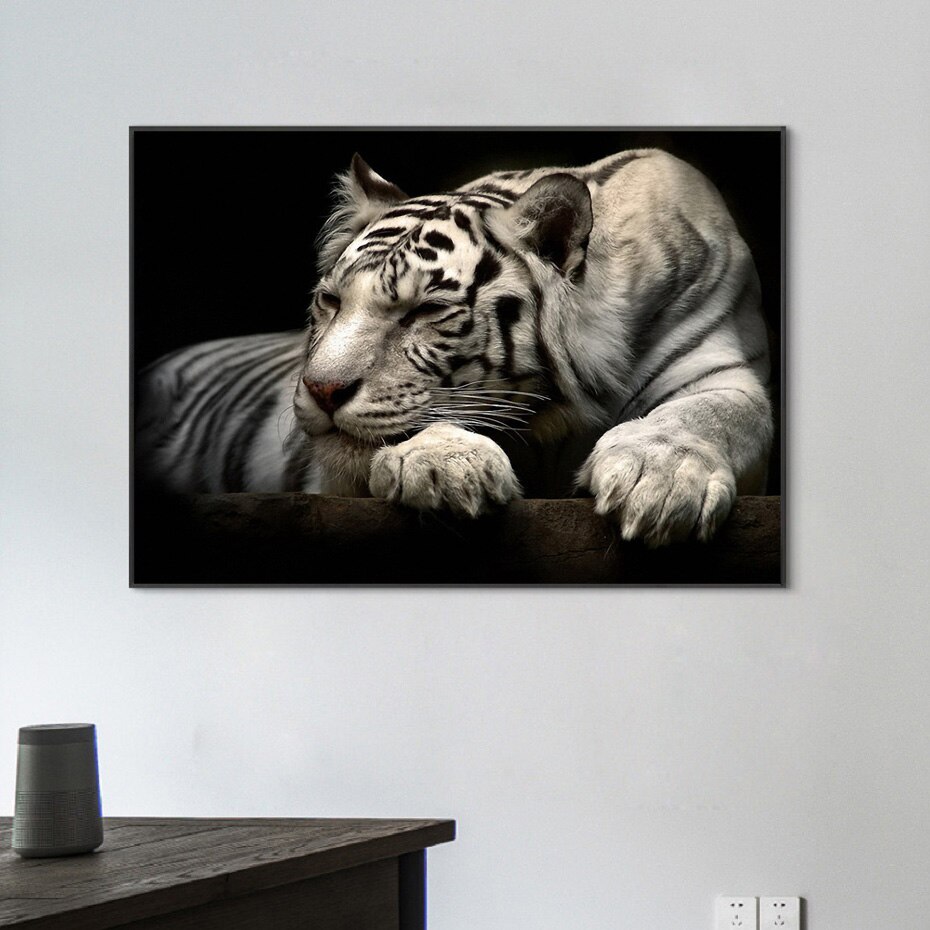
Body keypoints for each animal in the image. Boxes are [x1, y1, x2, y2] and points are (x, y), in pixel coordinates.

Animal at [137, 149, 773, 547]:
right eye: (331, 302)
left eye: (423, 311)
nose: (321, 390)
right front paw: (445, 465)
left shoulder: (721, 366)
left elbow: (711, 414)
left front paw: (660, 482)